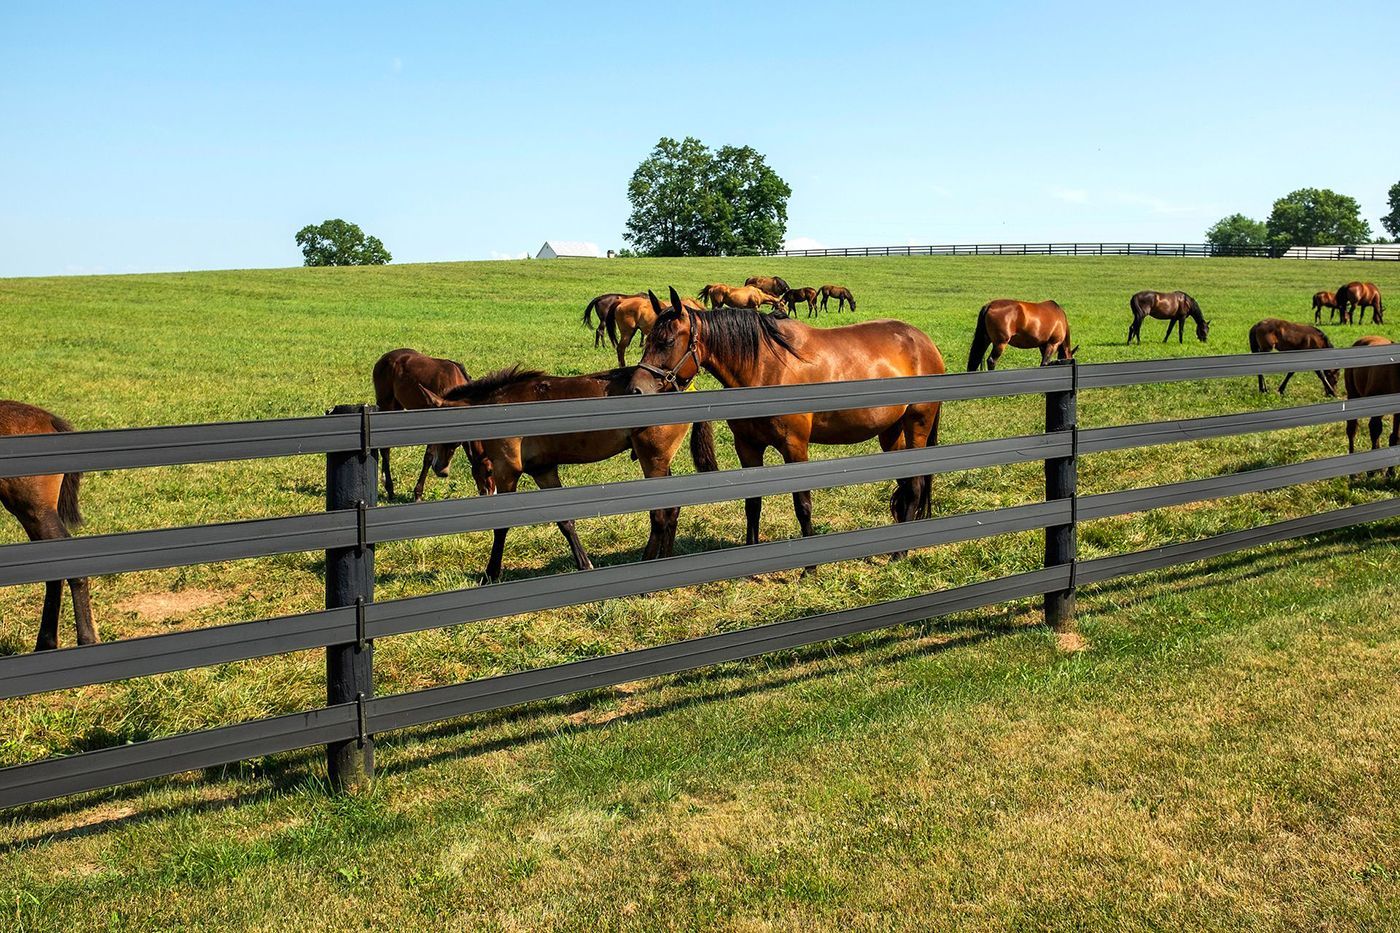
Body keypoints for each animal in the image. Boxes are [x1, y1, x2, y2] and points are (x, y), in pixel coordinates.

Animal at [372, 348, 479, 501]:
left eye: (455, 444)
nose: (442, 472)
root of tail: (384, 357)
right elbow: (428, 456)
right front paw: (417, 493)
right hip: (386, 405)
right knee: (385, 449)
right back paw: (390, 490)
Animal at [418, 366, 718, 582]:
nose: (437, 466)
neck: (500, 406)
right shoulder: (543, 471)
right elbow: (565, 521)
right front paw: (584, 564)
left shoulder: (506, 471)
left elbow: (502, 524)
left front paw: (491, 573)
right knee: (673, 509)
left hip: (652, 461)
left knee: (660, 514)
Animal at [629, 289, 944, 555]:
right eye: (647, 339)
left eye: (667, 341)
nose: (636, 390)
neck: (766, 367)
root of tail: (924, 342)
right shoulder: (748, 448)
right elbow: (753, 504)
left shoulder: (794, 447)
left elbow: (802, 504)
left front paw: (810, 568)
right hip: (891, 432)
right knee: (905, 483)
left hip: (917, 425)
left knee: (915, 485)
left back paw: (899, 553)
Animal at [1343, 336, 1400, 476]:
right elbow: (1375, 429)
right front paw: (1373, 470)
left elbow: (1395, 437)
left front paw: (1390, 472)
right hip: (1352, 394)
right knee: (1352, 429)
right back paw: (1353, 473)